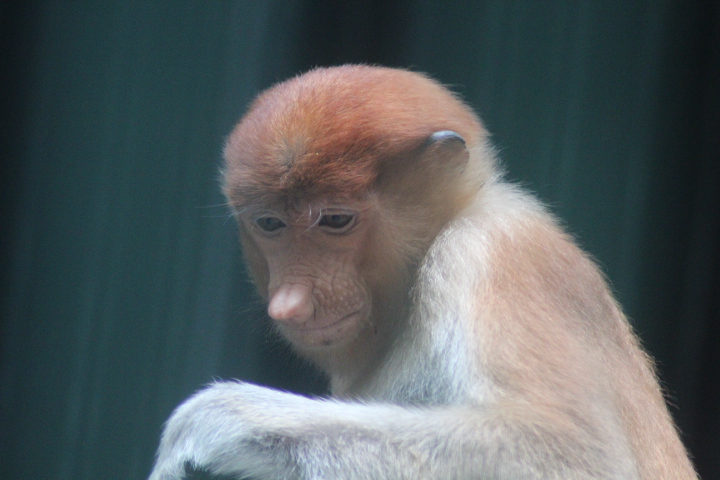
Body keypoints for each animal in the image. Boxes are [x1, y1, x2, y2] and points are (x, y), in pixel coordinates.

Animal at [148, 65, 697, 480]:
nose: (291, 301)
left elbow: (564, 450)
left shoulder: (489, 252)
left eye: (336, 220)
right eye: (270, 224)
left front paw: (207, 423)